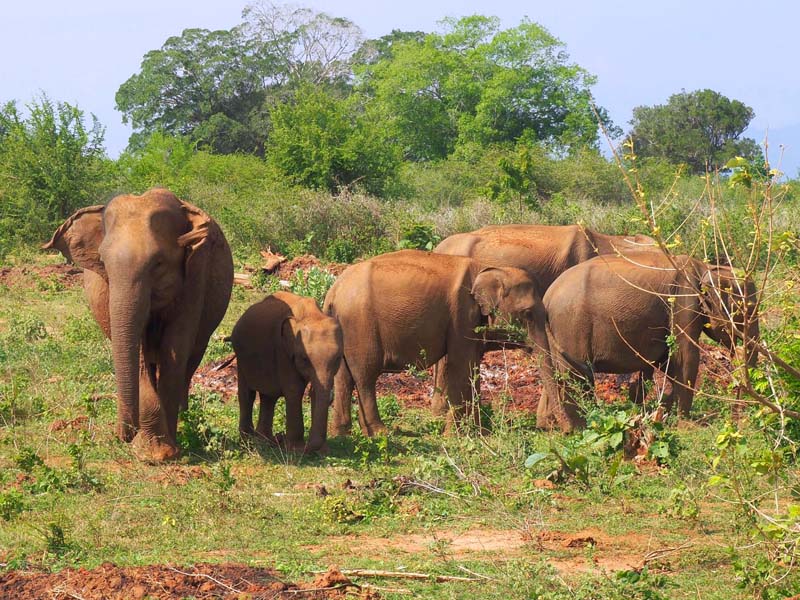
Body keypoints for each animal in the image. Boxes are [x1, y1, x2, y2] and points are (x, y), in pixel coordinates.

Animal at [43, 190, 234, 462]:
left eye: (158, 263)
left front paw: (164, 453)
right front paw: (151, 452)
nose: (123, 435)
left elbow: (175, 346)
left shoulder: (197, 273)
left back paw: (185, 421)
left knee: (191, 359)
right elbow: (140, 352)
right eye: (103, 262)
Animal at [231, 288, 344, 452]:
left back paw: (264, 439)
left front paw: (323, 452)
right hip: (241, 357)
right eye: (304, 359)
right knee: (247, 394)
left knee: (268, 397)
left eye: (338, 359)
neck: (311, 315)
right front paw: (296, 450)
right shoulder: (283, 351)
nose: (281, 438)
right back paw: (249, 439)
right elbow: (293, 390)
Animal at [322, 248, 560, 436]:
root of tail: (333, 292)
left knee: (343, 377)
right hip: (360, 325)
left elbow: (472, 366)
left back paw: (342, 434)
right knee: (365, 376)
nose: (561, 431)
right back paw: (380, 433)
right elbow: (460, 366)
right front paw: (455, 435)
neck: (490, 269)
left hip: (346, 327)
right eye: (528, 314)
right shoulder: (462, 315)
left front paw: (479, 432)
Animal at [540, 251, 760, 428]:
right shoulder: (684, 302)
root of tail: (547, 297)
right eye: (746, 311)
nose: (736, 419)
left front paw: (659, 412)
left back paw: (549, 426)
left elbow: (667, 361)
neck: (705, 268)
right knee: (574, 375)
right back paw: (579, 426)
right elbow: (685, 355)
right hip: (571, 326)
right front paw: (686, 425)